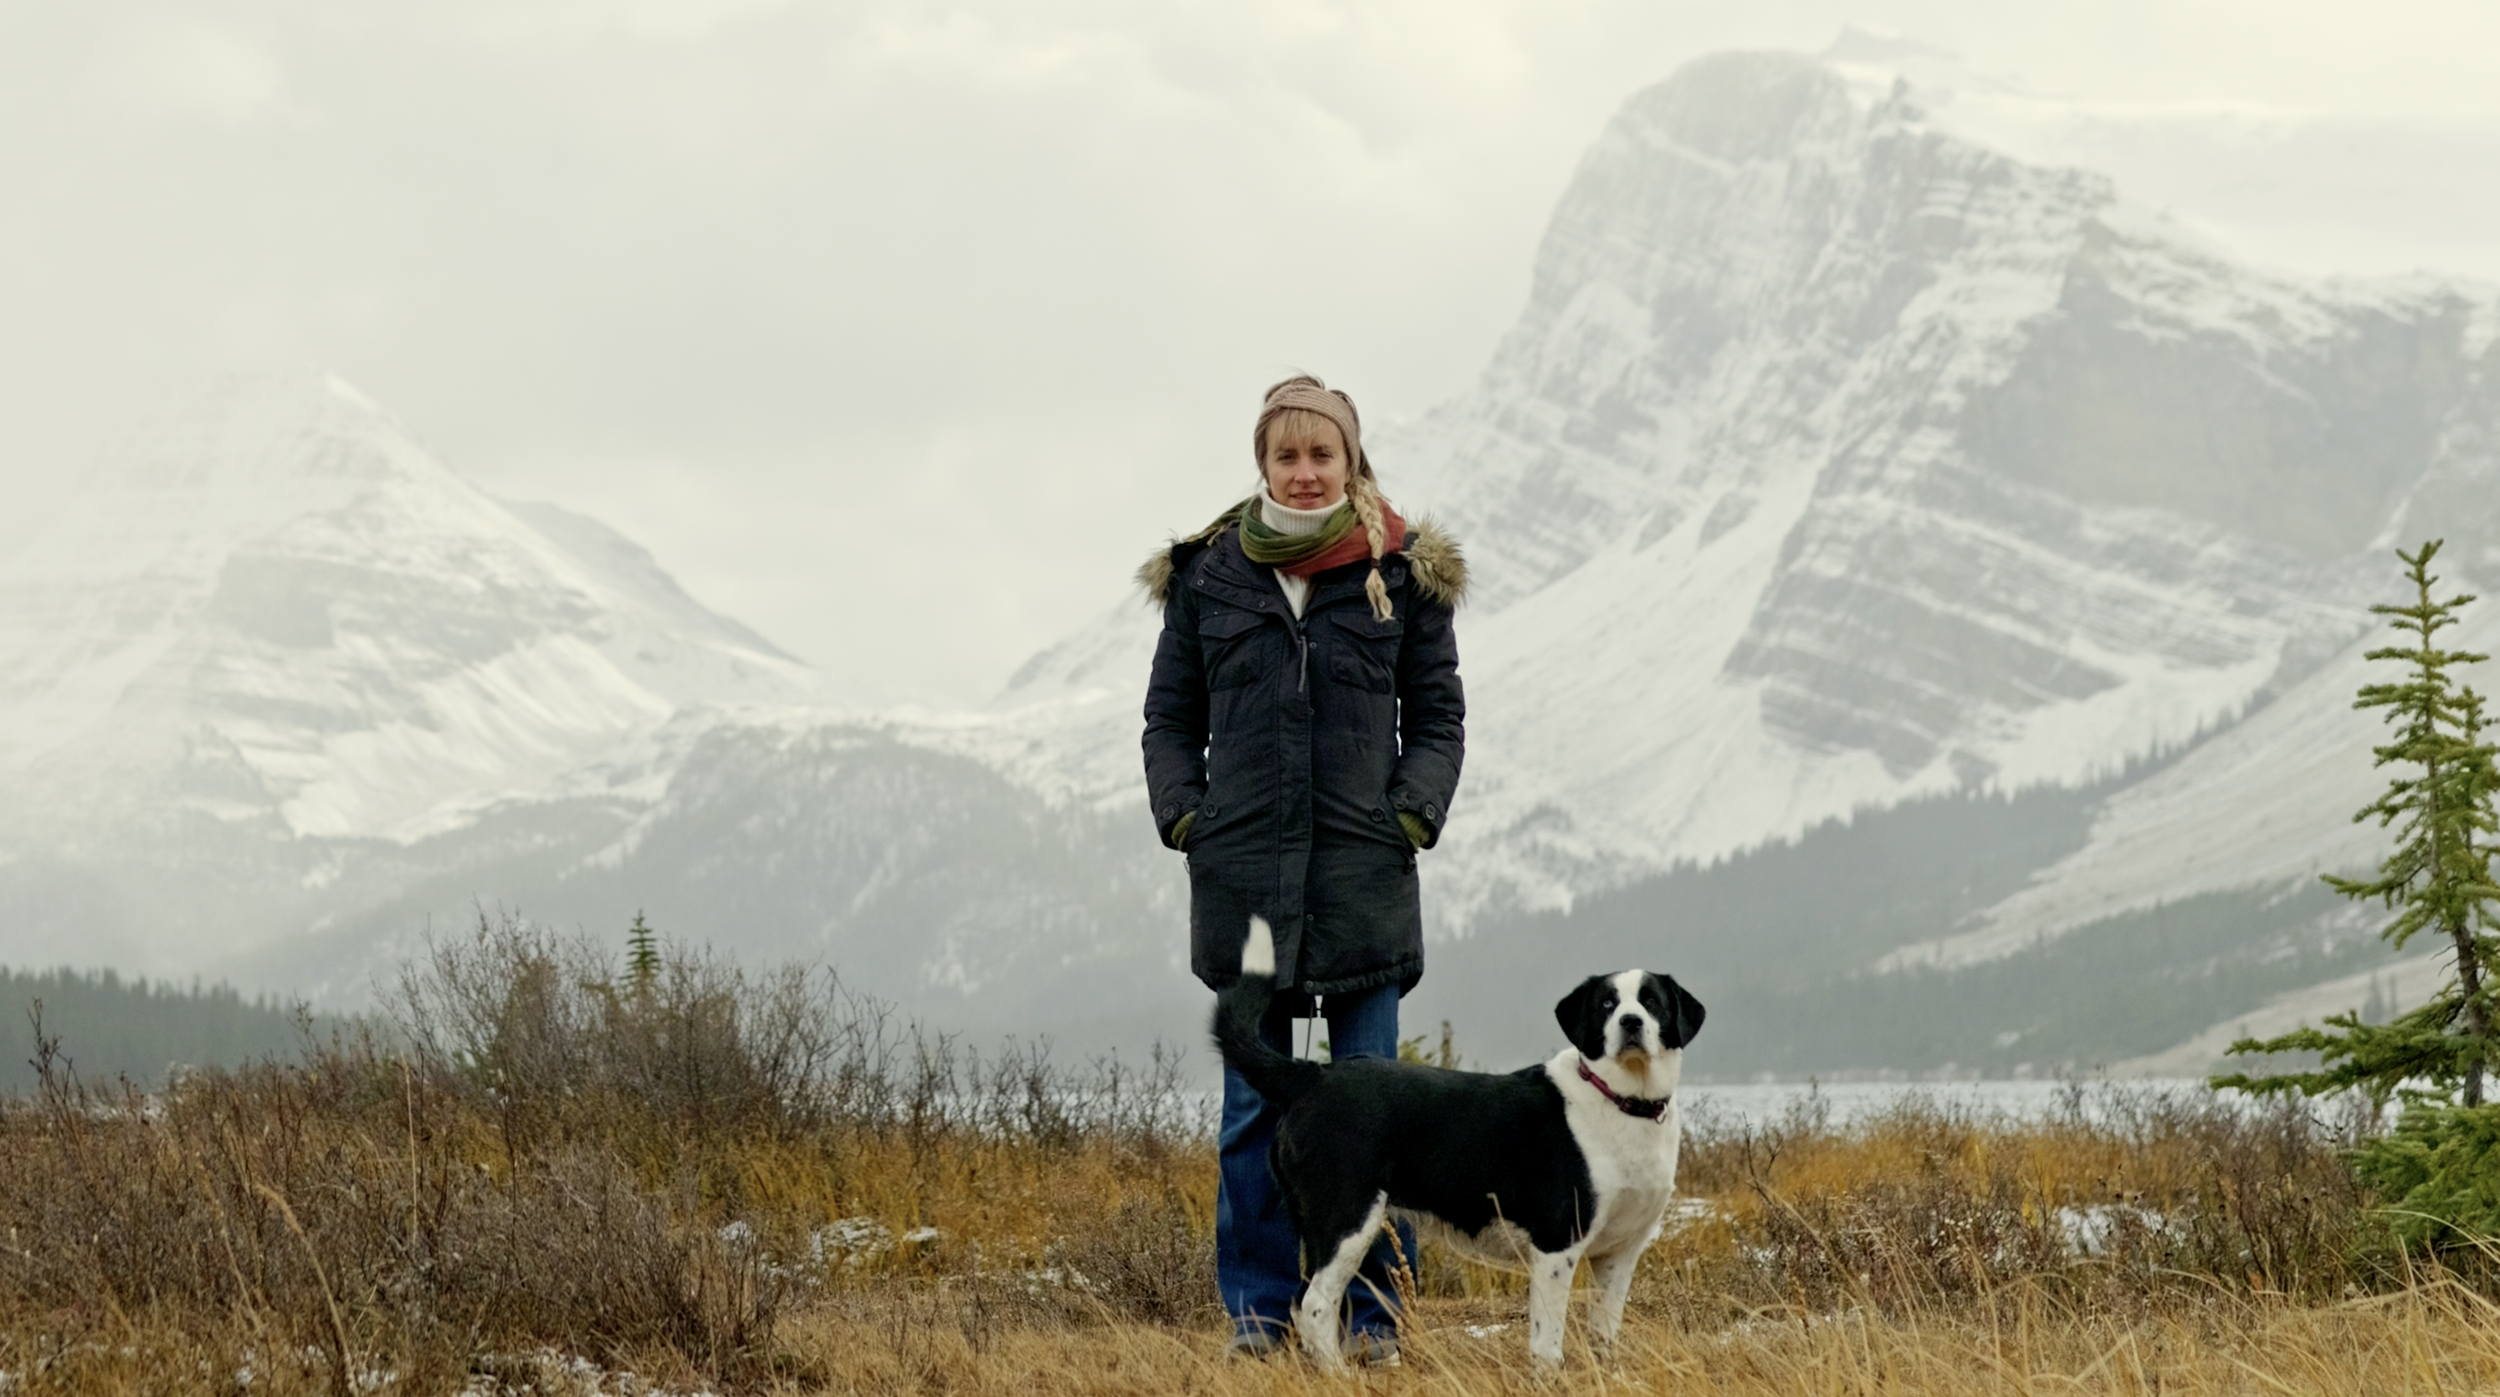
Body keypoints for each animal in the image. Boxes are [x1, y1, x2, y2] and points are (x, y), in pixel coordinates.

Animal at [1213, 915, 1704, 1369]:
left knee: (1301, 1303)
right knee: (1315, 1305)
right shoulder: (1556, 1245)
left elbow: (1605, 1333)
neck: (1621, 1100)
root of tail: (1311, 1076)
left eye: (1652, 1002)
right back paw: (1340, 1378)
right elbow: (1548, 1339)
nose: (1630, 1022)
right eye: (1606, 1003)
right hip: (1345, 1218)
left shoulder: (1620, 1254)